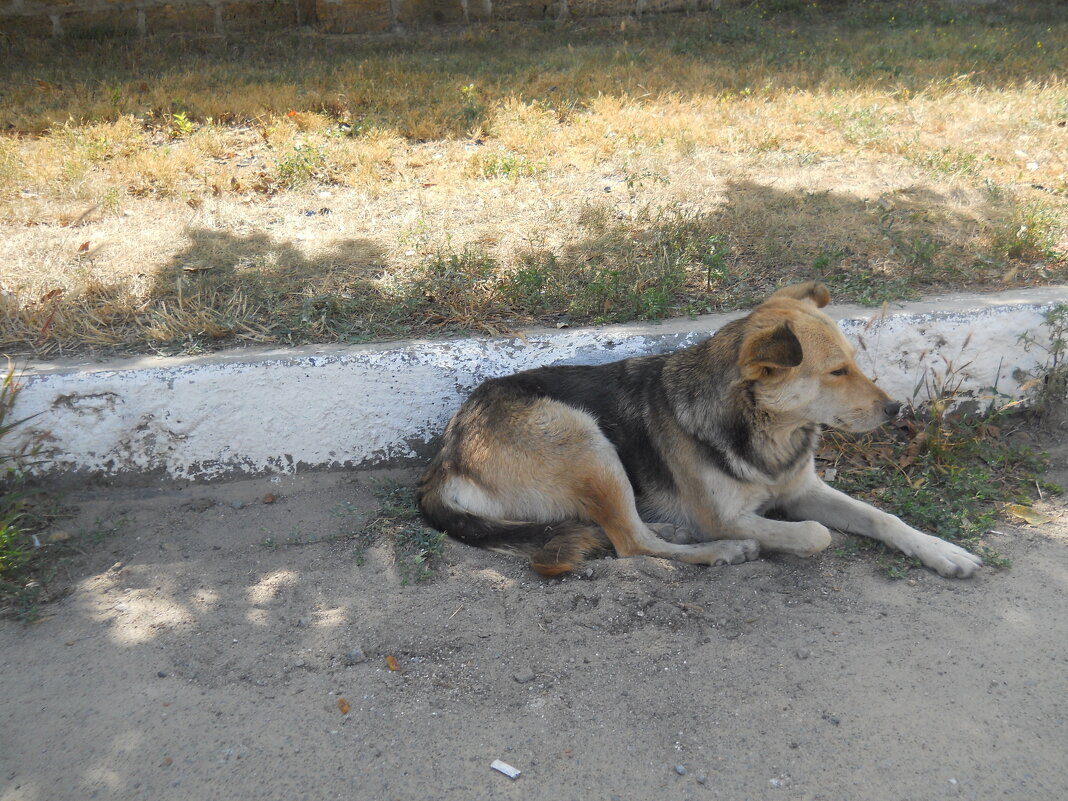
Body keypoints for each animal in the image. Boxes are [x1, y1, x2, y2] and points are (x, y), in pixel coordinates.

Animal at [416, 279, 982, 580]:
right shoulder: (723, 515)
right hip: (585, 440)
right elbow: (815, 534)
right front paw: (754, 543)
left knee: (626, 529)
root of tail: (446, 456)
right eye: (837, 372)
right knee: (631, 544)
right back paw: (720, 552)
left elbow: (885, 518)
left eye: (855, 363)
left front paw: (942, 551)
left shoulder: (804, 490)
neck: (762, 430)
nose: (897, 409)